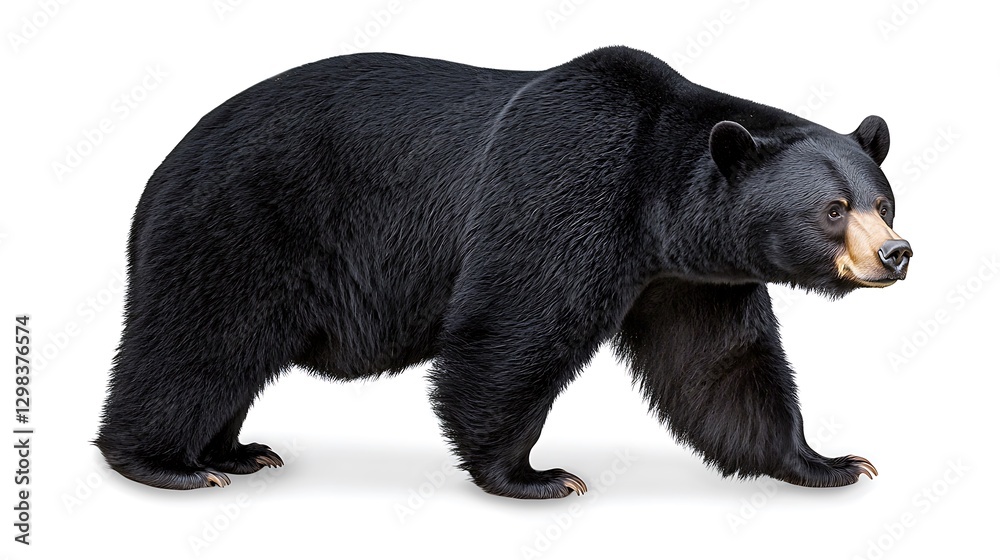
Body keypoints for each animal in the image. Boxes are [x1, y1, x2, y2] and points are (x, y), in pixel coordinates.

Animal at [95, 46, 911, 499]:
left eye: (883, 200)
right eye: (833, 209)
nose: (896, 253)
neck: (654, 191)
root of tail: (162, 168)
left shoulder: (687, 276)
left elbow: (722, 365)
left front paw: (831, 462)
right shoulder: (565, 188)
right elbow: (514, 330)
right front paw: (534, 475)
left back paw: (236, 450)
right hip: (243, 223)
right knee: (198, 340)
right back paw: (166, 463)